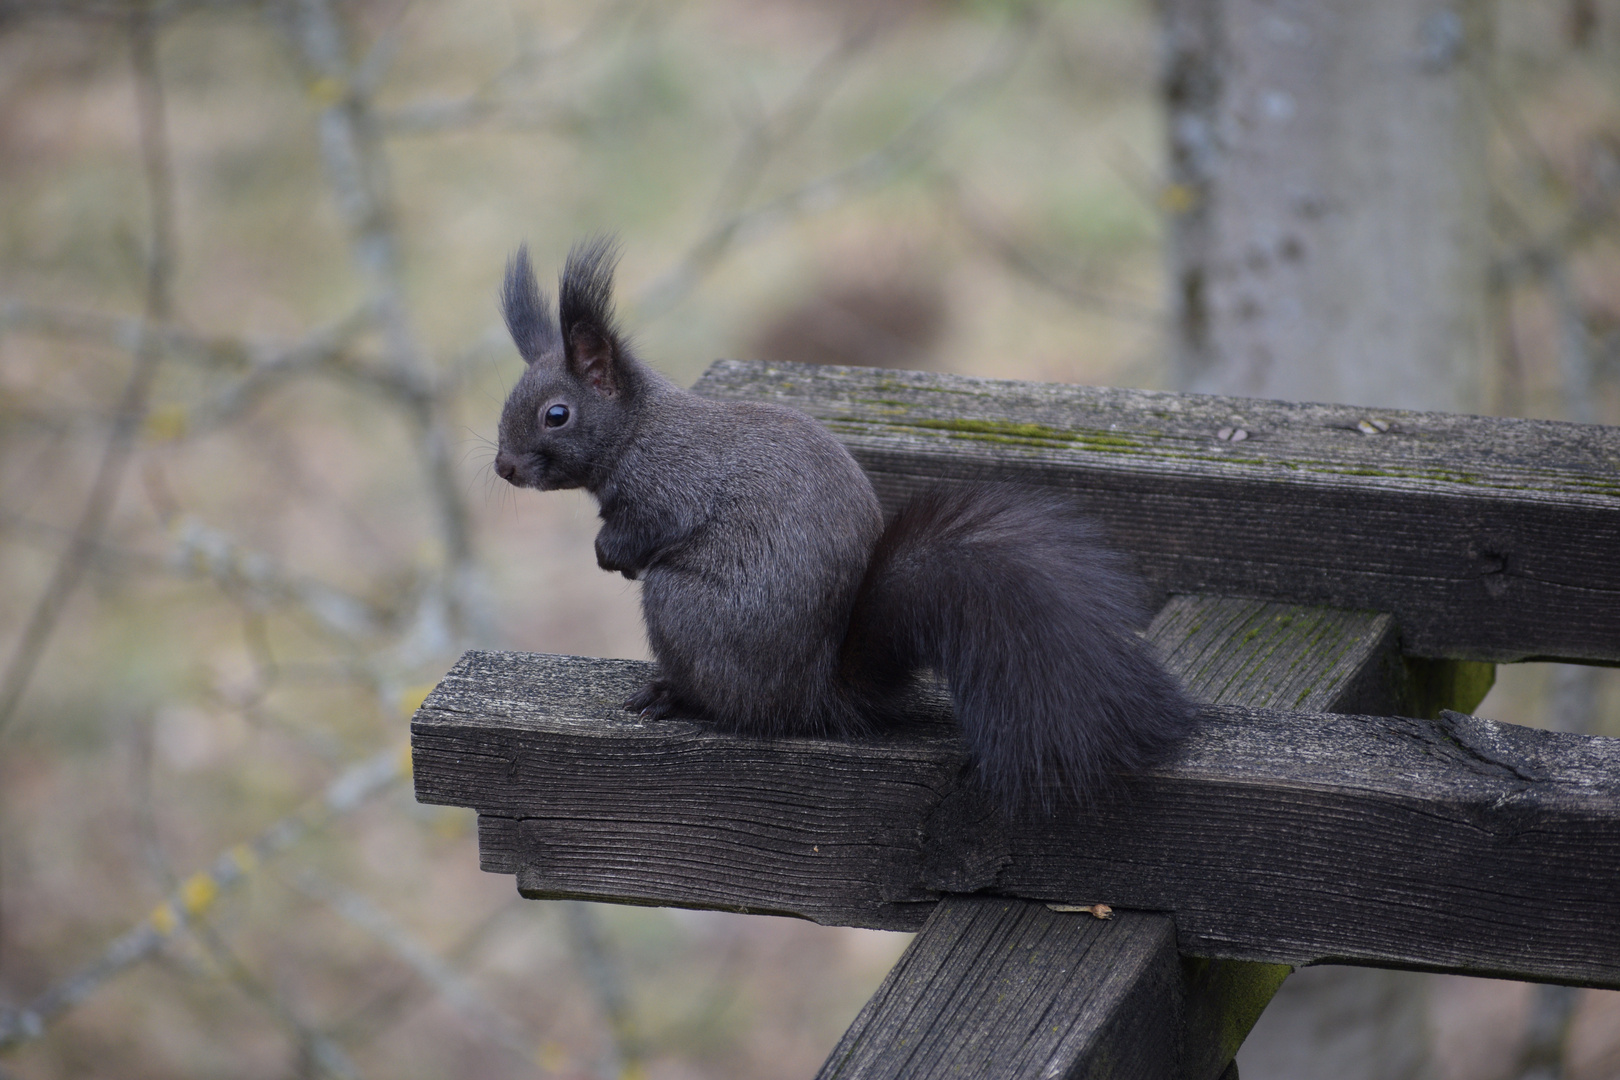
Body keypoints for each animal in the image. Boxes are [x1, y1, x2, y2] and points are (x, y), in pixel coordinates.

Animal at [495, 236, 1205, 809]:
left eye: (556, 415)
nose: (503, 467)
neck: (639, 429)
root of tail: (817, 694)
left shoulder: (669, 489)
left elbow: (643, 532)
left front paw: (608, 554)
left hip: (681, 608)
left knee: (728, 699)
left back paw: (674, 696)